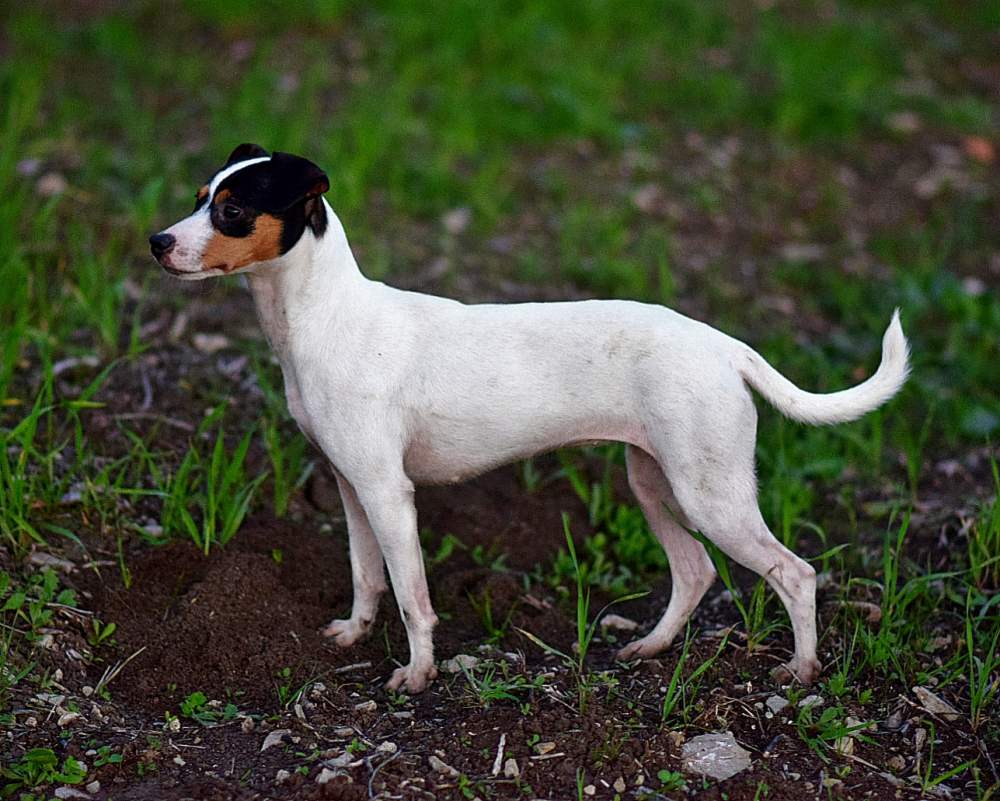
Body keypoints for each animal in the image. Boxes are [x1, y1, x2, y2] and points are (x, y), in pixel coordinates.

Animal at [152, 145, 912, 692]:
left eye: (232, 211)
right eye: (199, 200)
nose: (157, 241)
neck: (325, 317)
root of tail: (725, 346)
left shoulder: (388, 493)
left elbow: (413, 595)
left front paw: (418, 674)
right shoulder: (352, 486)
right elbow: (368, 575)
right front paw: (354, 633)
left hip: (711, 494)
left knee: (795, 573)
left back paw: (802, 670)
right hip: (656, 483)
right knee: (695, 571)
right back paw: (651, 645)